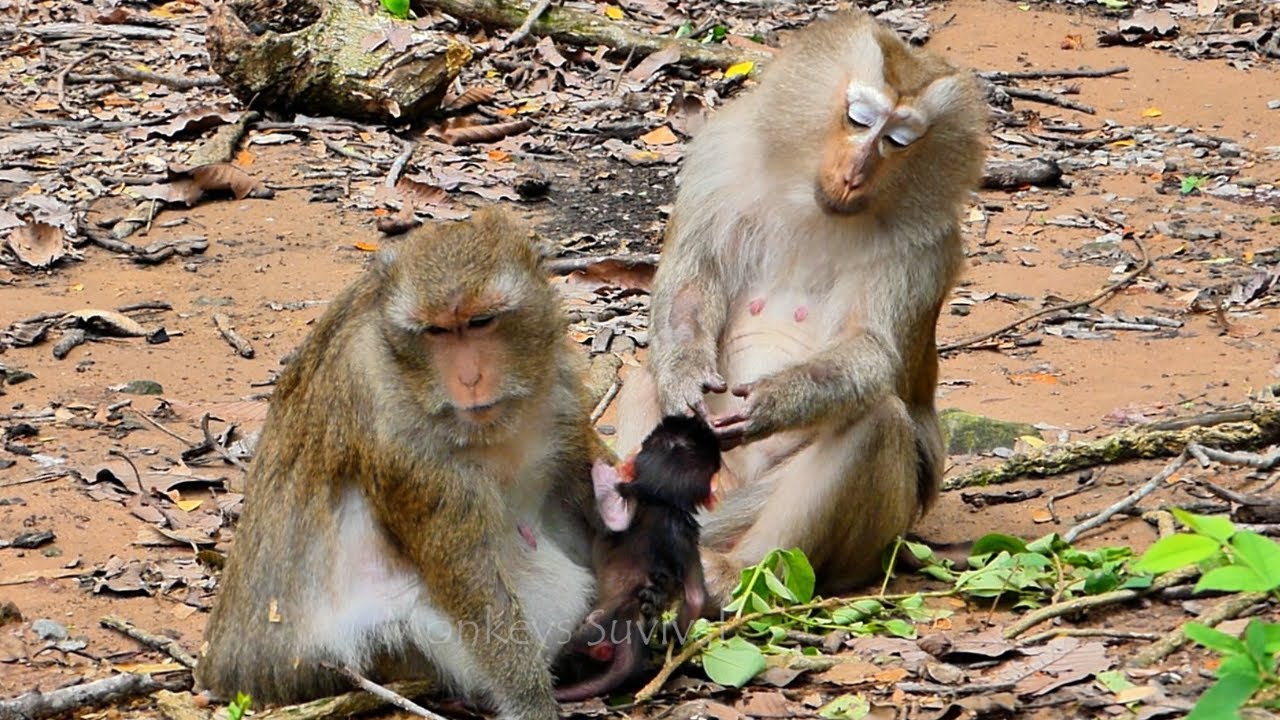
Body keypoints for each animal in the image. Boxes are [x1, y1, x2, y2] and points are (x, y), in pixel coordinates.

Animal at [195, 209, 609, 720]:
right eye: (436, 332)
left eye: (481, 322)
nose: (470, 378)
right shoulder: (392, 424)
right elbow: (471, 582)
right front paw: (531, 703)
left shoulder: (558, 376)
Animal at [555, 414, 721, 701]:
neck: (663, 502)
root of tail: (630, 616)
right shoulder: (687, 537)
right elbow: (696, 597)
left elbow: (616, 518)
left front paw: (602, 472)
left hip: (589, 629)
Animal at [614, 10, 989, 605]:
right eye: (858, 119)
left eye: (897, 141)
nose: (856, 171)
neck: (818, 205)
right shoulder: (718, 159)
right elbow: (690, 284)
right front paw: (684, 375)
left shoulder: (925, 244)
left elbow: (873, 351)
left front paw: (774, 402)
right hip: (723, 479)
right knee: (642, 380)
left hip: (867, 539)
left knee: (875, 421)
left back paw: (738, 573)